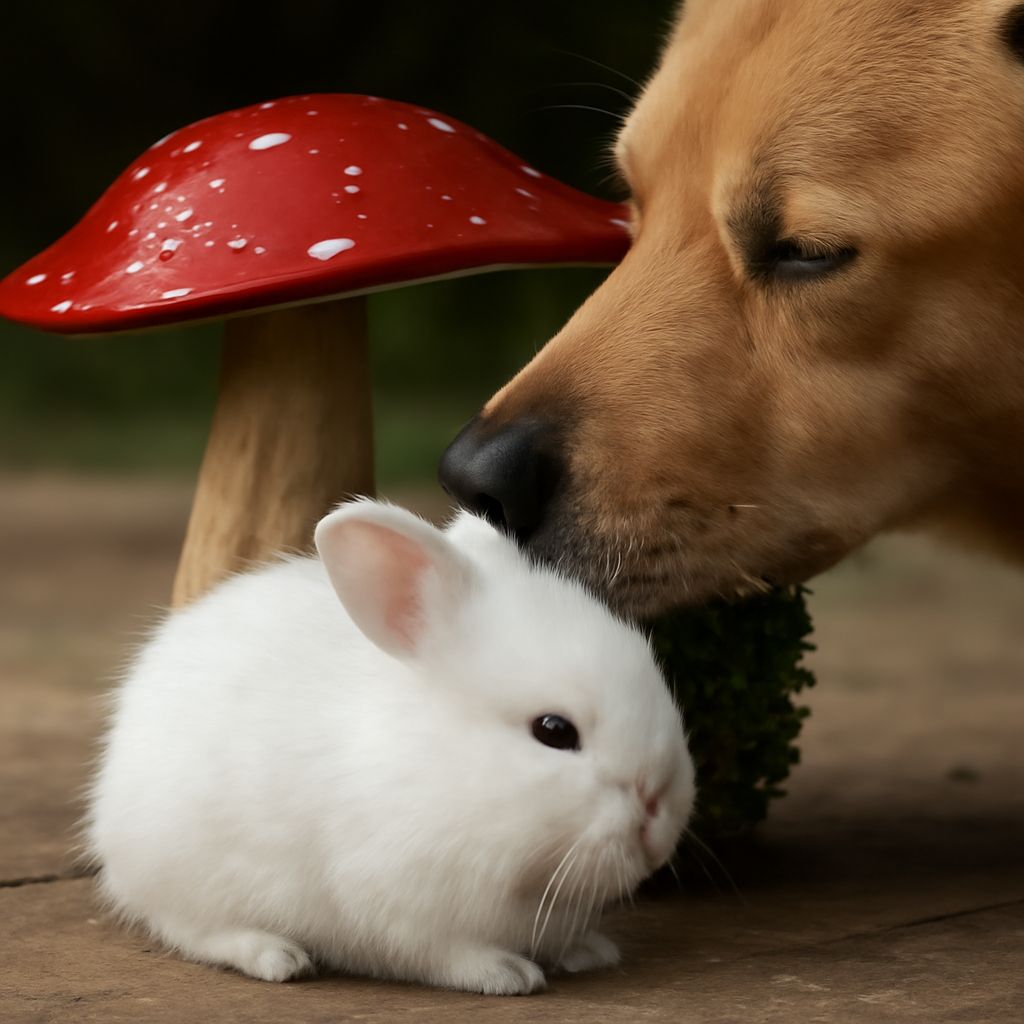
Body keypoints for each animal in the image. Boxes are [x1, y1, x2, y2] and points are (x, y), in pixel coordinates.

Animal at [85, 500, 695, 995]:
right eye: (553, 730)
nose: (657, 801)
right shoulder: (395, 906)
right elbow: (442, 955)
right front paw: (506, 974)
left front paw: (591, 952)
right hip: (186, 872)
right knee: (188, 928)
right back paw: (275, 955)